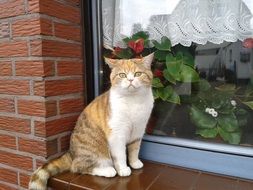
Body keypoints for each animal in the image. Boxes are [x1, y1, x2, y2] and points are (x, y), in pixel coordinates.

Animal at [28, 52, 154, 190]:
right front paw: (123, 169)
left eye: (138, 74)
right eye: (122, 75)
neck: (133, 101)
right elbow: (120, 155)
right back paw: (108, 170)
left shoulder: (138, 130)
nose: (130, 80)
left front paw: (135, 163)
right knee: (78, 167)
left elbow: (134, 150)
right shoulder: (116, 134)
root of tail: (71, 153)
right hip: (95, 150)